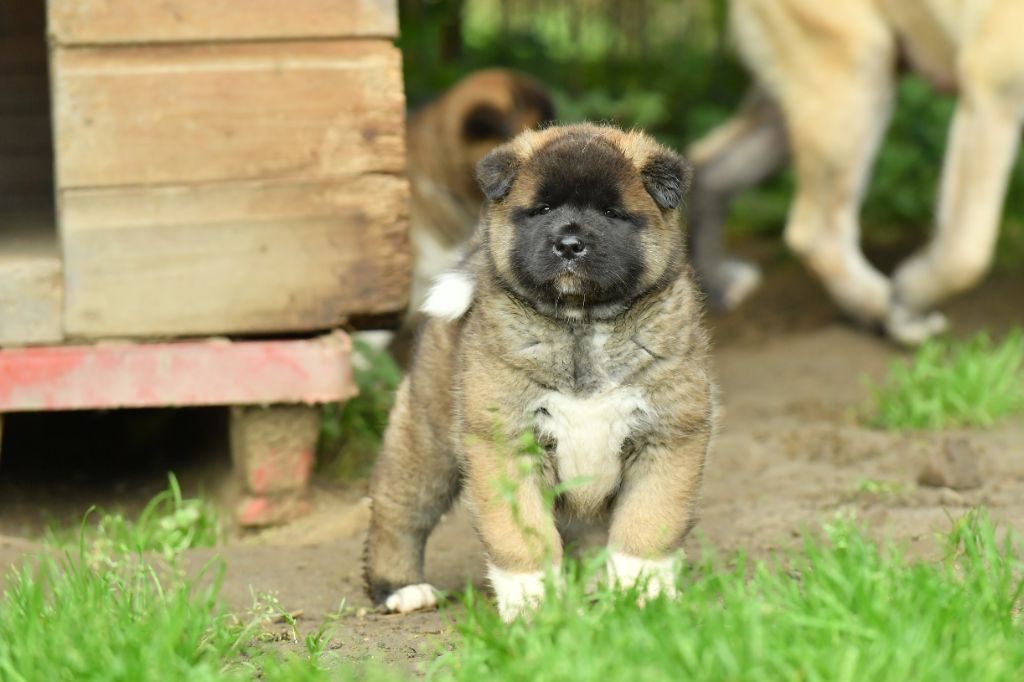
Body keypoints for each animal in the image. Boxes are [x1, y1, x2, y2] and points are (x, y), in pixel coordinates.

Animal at [366, 123, 712, 622]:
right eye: (543, 209)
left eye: (612, 213)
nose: (569, 245)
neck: (581, 326)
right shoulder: (506, 444)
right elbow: (522, 537)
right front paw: (534, 606)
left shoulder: (666, 438)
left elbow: (646, 525)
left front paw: (641, 598)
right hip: (428, 438)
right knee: (398, 507)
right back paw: (399, 587)